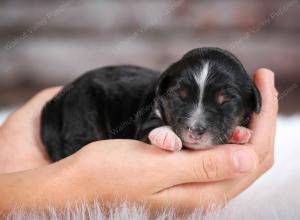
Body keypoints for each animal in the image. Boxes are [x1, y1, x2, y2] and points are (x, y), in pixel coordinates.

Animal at [41, 47, 262, 162]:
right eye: (179, 96)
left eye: (225, 101)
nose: (195, 130)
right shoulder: (145, 120)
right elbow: (152, 126)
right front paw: (166, 135)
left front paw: (239, 132)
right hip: (83, 108)